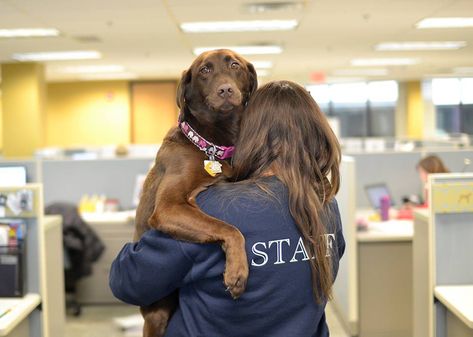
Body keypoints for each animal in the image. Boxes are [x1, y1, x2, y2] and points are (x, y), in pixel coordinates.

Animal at [133, 50, 258, 336]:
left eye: (235, 65)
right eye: (205, 70)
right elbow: (230, 228)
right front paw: (237, 271)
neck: (209, 145)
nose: (226, 90)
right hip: (156, 315)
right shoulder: (168, 208)